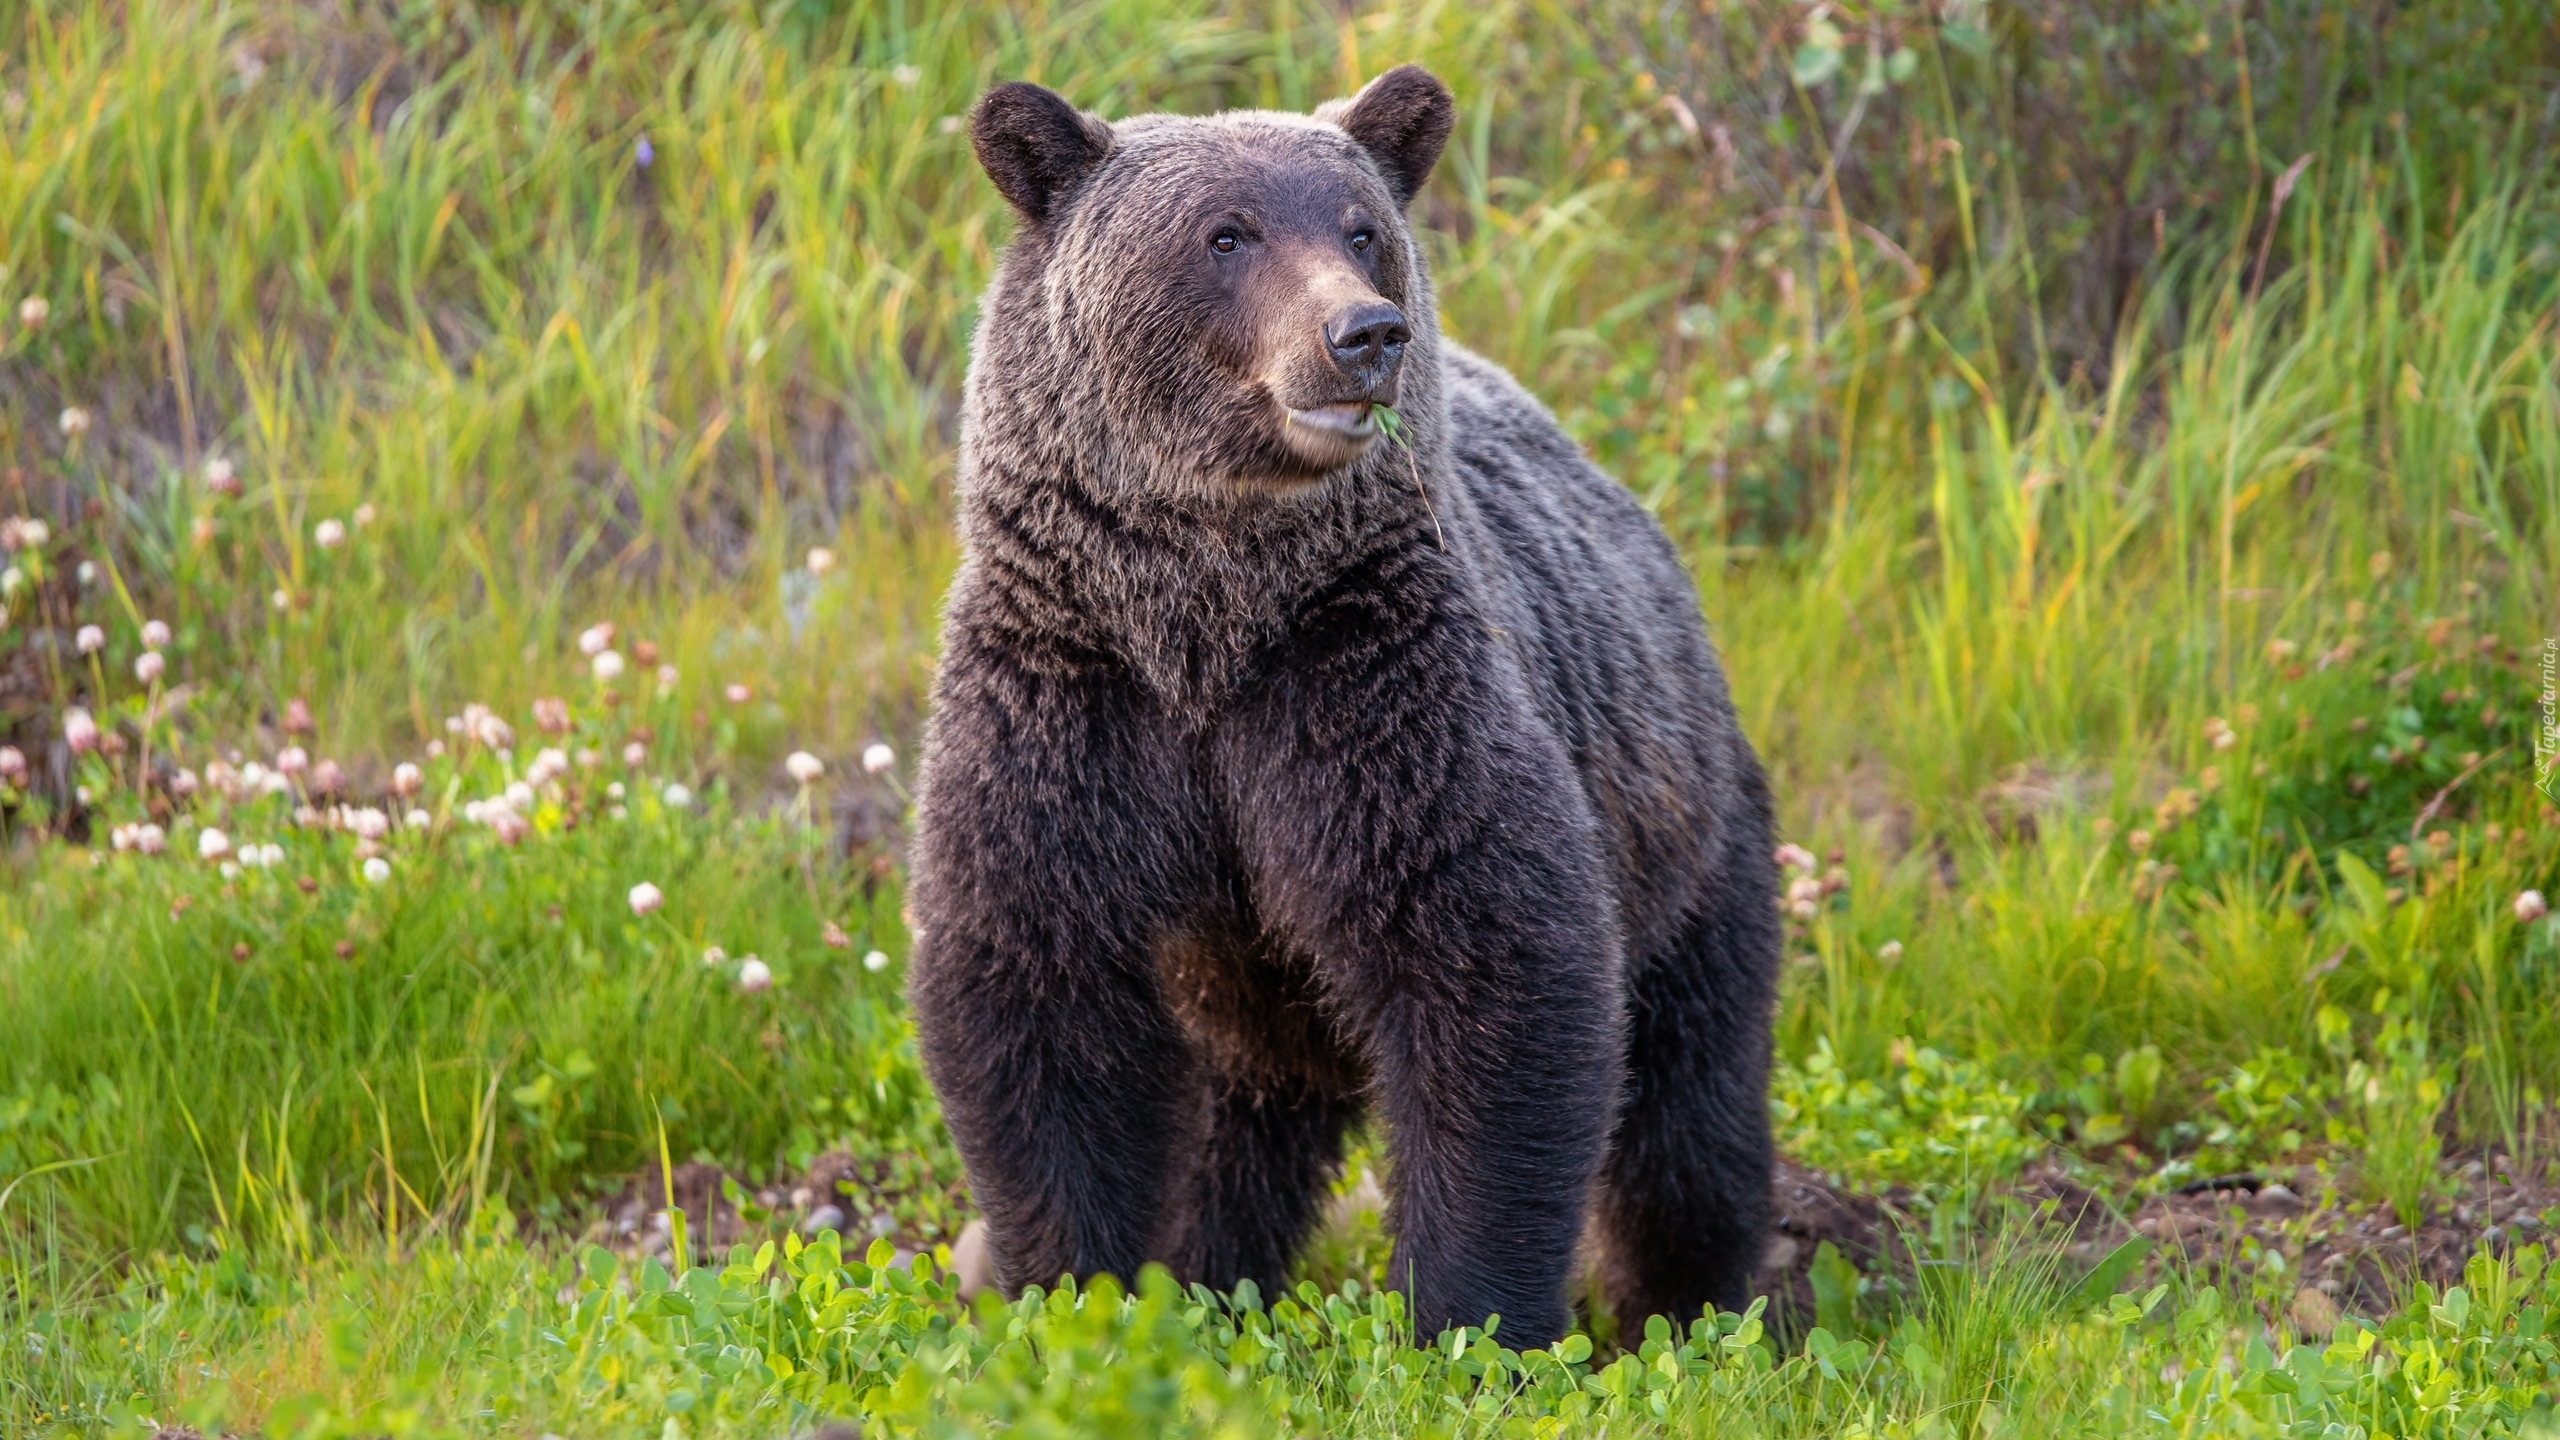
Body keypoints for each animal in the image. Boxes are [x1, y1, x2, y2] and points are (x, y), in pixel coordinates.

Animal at [906, 64, 1781, 1342]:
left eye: (1361, 229)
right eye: (1226, 233)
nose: (1365, 332)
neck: (1207, 618)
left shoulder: (1369, 683)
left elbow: (1494, 965)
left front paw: (1470, 1321)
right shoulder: (1071, 700)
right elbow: (1038, 989)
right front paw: (1076, 1294)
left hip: (1685, 834)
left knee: (1687, 1106)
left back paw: (1691, 1307)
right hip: (1254, 1012)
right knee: (1226, 1139)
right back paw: (1206, 1276)